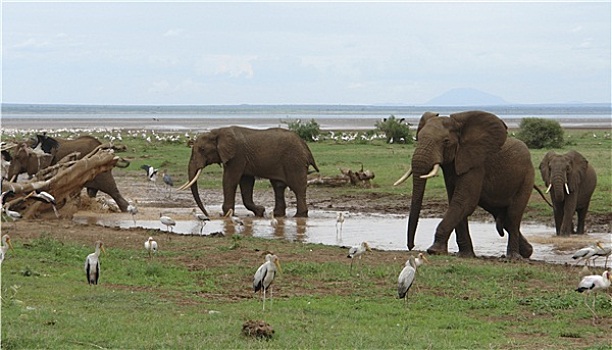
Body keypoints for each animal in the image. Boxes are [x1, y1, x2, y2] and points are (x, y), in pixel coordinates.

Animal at [179, 126, 318, 219]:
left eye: (202, 149)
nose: (207, 215)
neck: (217, 132)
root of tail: (305, 145)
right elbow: (246, 183)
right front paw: (260, 212)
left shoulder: (237, 155)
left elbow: (230, 179)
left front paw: (226, 213)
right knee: (278, 186)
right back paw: (278, 215)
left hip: (294, 161)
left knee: (297, 187)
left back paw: (299, 216)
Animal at [396, 110, 536, 258]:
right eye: (418, 138)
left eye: (446, 141)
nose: (411, 247)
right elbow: (456, 201)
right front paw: (465, 254)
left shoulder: (476, 164)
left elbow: (463, 201)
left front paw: (434, 250)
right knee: (501, 216)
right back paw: (527, 251)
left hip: (527, 177)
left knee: (513, 216)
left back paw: (514, 257)